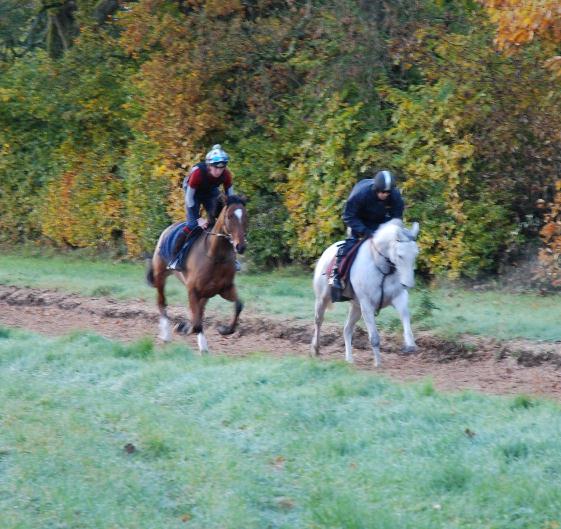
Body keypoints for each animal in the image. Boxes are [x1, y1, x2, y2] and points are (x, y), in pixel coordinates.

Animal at [147, 194, 247, 350]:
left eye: (245, 215)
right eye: (230, 216)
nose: (240, 246)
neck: (216, 256)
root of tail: (167, 230)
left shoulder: (225, 289)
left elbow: (238, 305)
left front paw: (224, 329)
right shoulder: (192, 290)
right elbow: (197, 322)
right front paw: (197, 341)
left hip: (206, 292)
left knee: (199, 311)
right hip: (160, 275)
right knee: (162, 302)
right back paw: (166, 334)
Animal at [312, 220, 418, 368]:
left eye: (415, 254)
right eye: (400, 255)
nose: (408, 284)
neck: (382, 267)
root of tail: (326, 253)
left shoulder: (399, 298)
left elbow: (405, 318)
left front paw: (410, 345)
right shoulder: (367, 305)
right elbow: (374, 337)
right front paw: (378, 363)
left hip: (356, 307)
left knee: (347, 329)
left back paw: (349, 359)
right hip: (323, 299)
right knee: (318, 321)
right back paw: (316, 349)